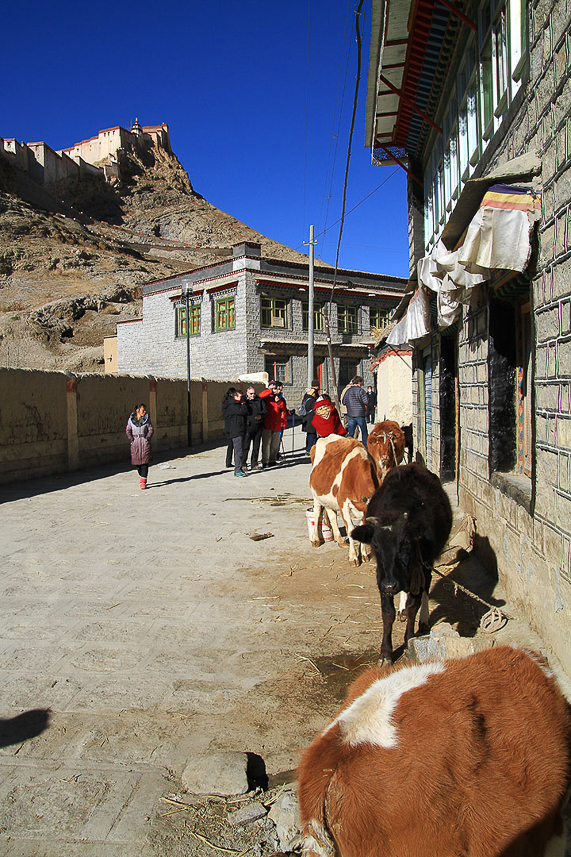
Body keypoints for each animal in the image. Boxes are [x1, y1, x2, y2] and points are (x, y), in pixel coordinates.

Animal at [310, 434, 378, 568]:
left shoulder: (363, 509)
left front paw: (364, 554)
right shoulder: (343, 503)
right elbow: (350, 530)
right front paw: (353, 557)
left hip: (329, 497)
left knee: (332, 516)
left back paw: (340, 540)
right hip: (316, 494)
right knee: (317, 513)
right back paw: (315, 539)